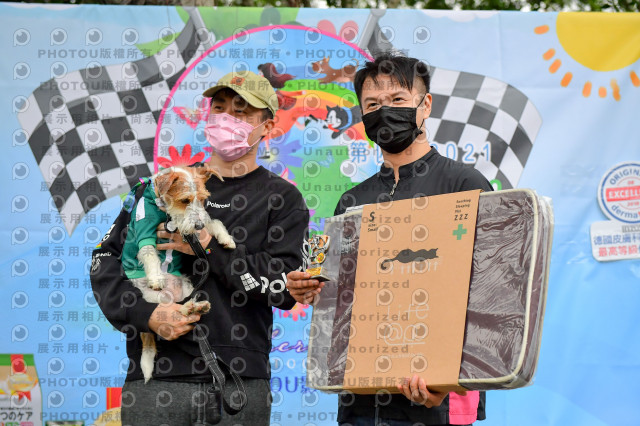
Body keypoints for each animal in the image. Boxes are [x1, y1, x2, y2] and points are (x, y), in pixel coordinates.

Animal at [122, 165, 235, 382]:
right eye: (185, 200)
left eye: (203, 199)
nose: (198, 227)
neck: (164, 210)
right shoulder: (144, 229)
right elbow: (148, 252)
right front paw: (156, 277)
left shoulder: (204, 219)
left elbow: (215, 222)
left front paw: (226, 238)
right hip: (155, 298)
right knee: (174, 310)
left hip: (187, 288)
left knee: (186, 308)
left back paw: (196, 307)